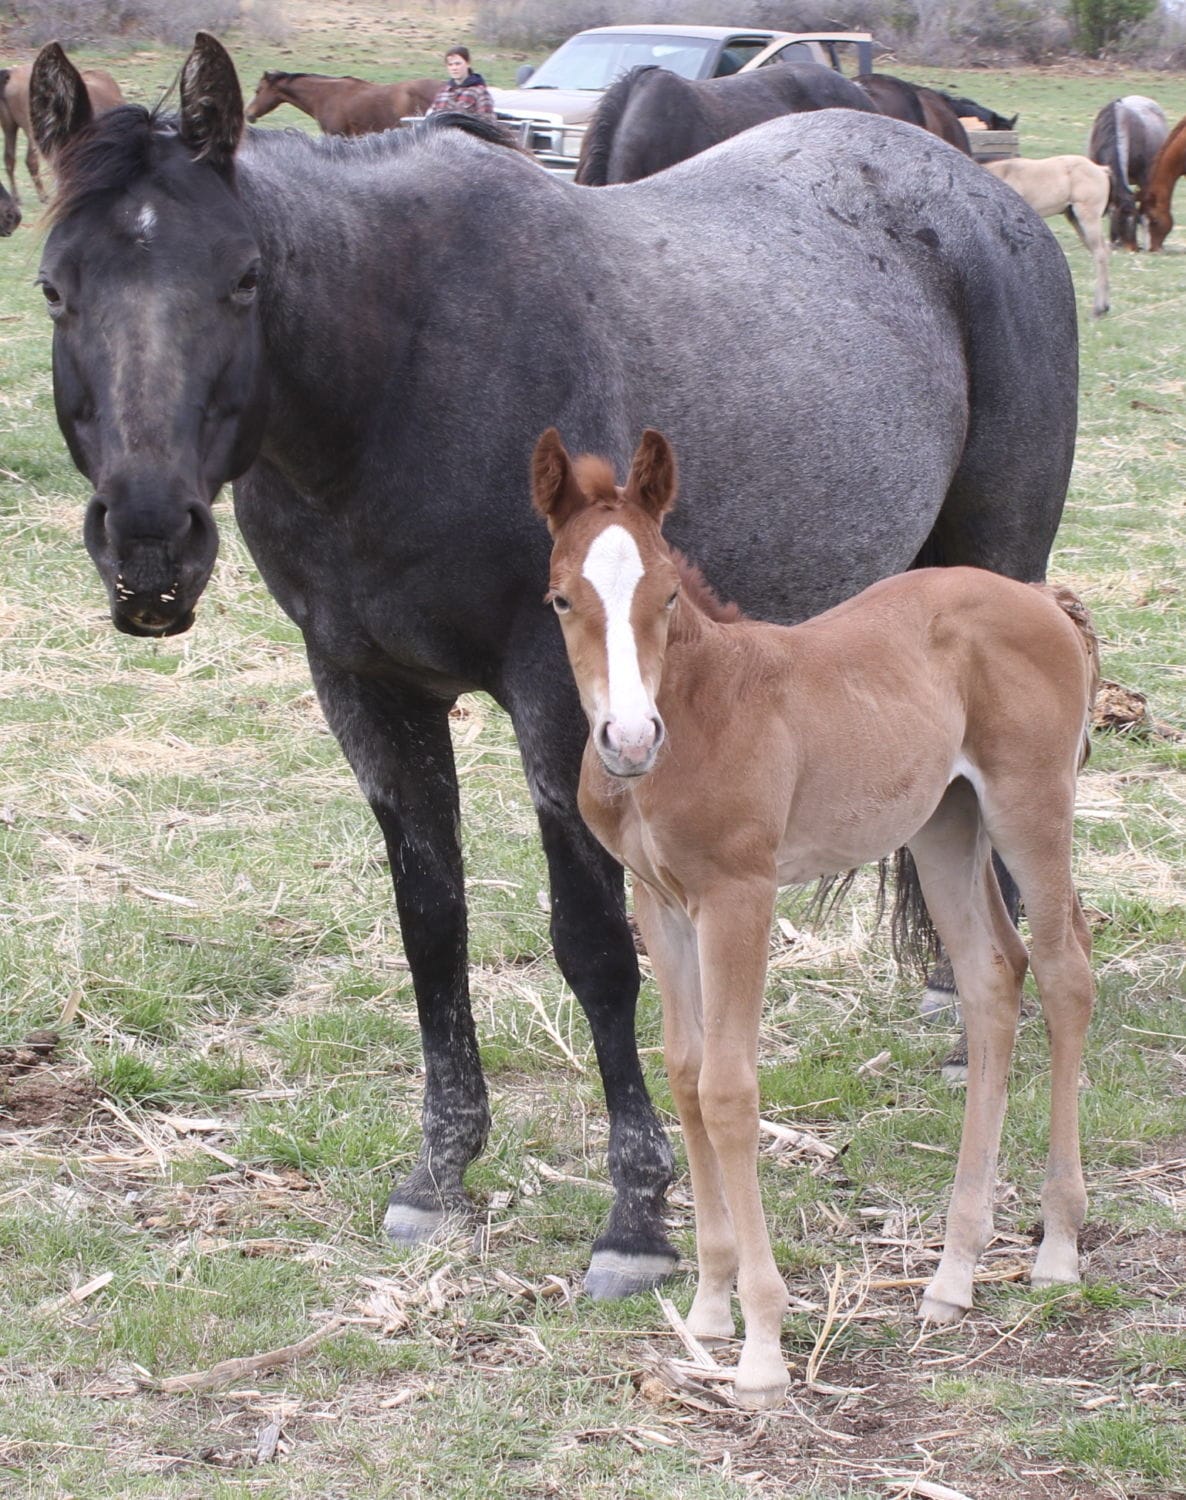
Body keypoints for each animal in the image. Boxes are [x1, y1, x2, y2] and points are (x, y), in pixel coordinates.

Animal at [0, 61, 122, 204]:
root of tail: (10, 75)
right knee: (31, 160)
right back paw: (44, 196)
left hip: (9, 127)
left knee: (9, 158)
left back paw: (16, 198)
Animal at [533, 426, 1097, 1408]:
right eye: (563, 597)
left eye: (667, 594)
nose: (630, 741)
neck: (697, 709)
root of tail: (1040, 599)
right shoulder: (660, 901)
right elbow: (685, 1071)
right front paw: (710, 1308)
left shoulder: (739, 896)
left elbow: (729, 1089)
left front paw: (761, 1346)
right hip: (944, 823)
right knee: (994, 977)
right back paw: (952, 1274)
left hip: (1030, 805)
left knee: (1066, 973)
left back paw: (1057, 1247)